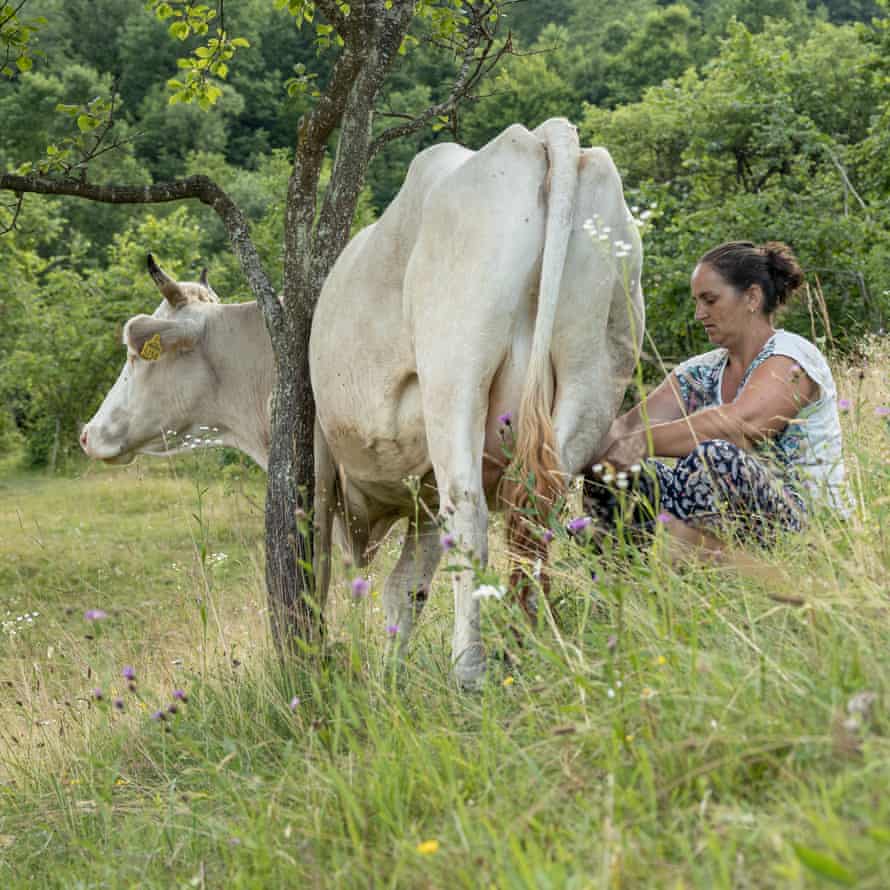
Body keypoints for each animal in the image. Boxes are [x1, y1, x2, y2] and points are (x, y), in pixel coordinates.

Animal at [81, 118, 640, 688]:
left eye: (136, 354)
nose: (88, 433)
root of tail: (538, 136)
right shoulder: (421, 494)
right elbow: (405, 591)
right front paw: (390, 677)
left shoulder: (316, 468)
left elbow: (316, 577)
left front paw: (314, 666)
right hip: (591, 380)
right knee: (534, 516)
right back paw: (530, 644)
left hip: (454, 380)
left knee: (471, 518)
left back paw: (469, 668)